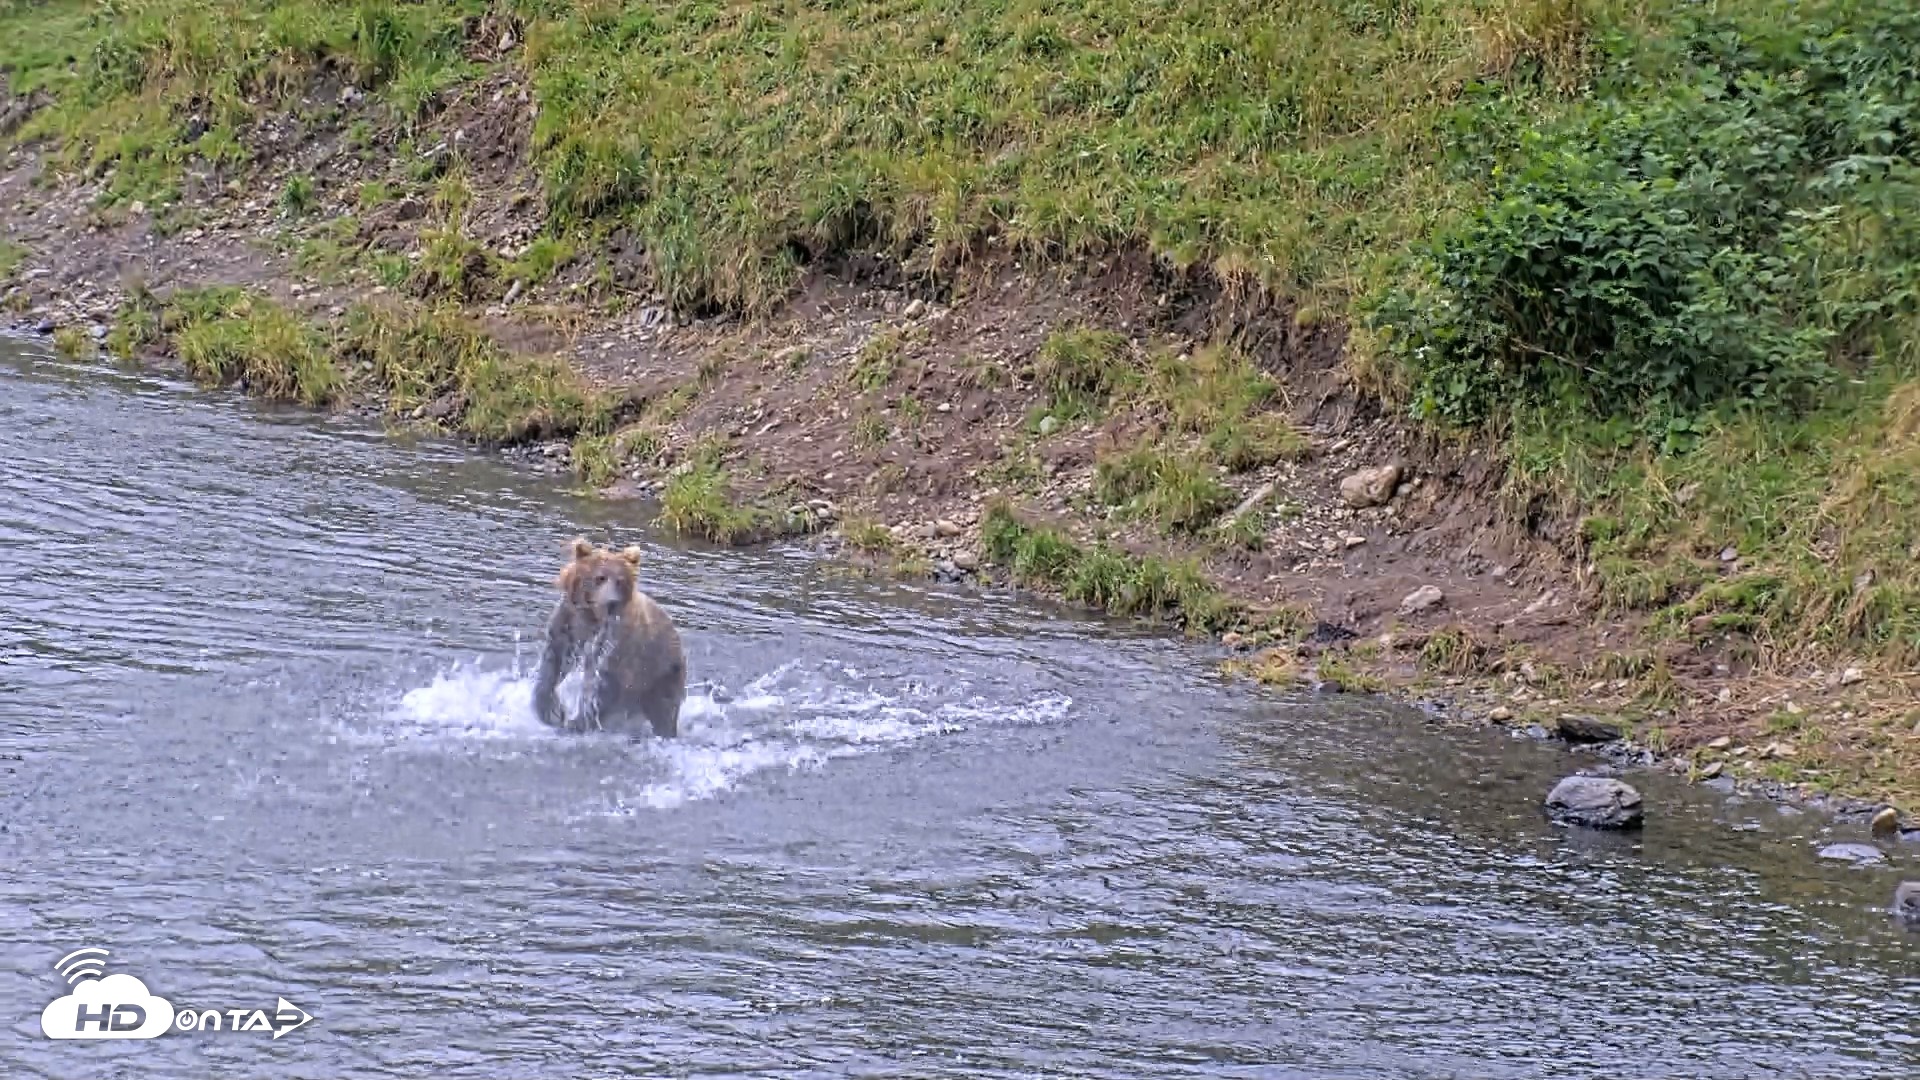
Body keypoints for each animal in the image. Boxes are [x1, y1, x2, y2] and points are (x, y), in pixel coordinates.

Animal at [531, 536, 687, 739]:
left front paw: (577, 721)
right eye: (600, 577)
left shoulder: (615, 642)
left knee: (663, 711)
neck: (592, 616)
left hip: (662, 675)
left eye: (620, 581)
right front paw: (551, 709)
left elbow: (601, 682)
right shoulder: (567, 623)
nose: (612, 601)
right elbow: (553, 661)